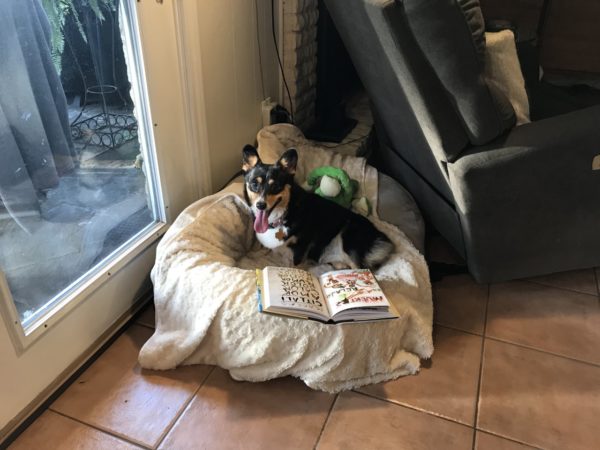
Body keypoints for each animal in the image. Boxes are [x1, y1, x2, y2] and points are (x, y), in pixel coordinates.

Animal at [241, 146, 392, 268]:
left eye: (276, 186)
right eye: (254, 184)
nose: (260, 205)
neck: (284, 214)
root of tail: (381, 237)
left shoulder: (301, 247)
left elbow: (293, 266)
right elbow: (263, 250)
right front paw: (254, 254)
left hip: (349, 239)